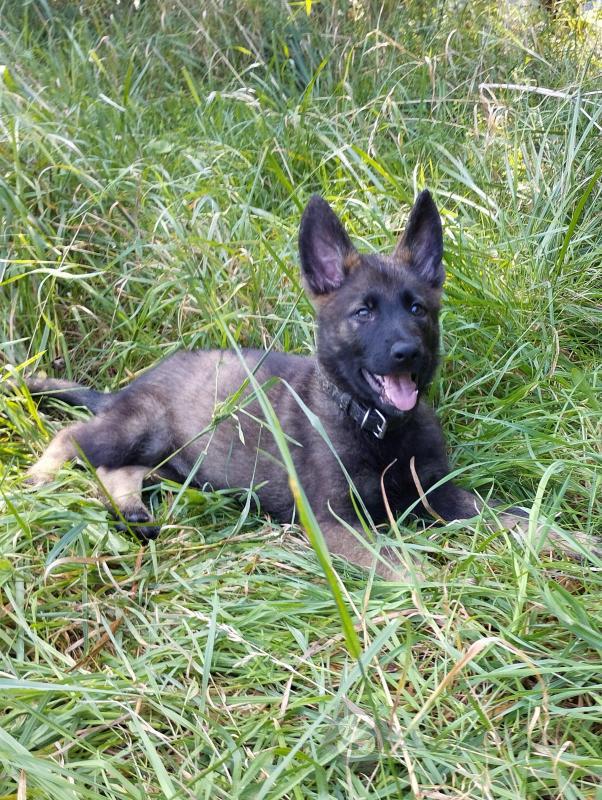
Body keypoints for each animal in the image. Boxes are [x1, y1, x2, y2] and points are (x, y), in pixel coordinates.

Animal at [22, 191, 593, 579]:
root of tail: (125, 387)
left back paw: (135, 512)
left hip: (177, 461)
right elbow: (400, 563)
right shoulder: (331, 521)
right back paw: (38, 483)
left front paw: (578, 542)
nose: (407, 353)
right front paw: (435, 595)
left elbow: (521, 517)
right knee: (74, 440)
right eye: (363, 312)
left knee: (120, 469)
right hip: (139, 426)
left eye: (417, 309)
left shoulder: (438, 494)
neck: (378, 425)